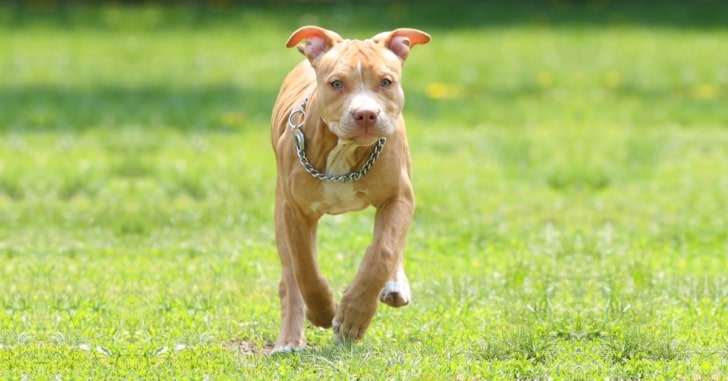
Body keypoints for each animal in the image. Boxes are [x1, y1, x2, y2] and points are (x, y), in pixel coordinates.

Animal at [272, 25, 432, 352]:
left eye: (386, 82)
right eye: (336, 83)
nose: (366, 114)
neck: (344, 150)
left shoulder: (398, 198)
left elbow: (381, 252)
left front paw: (353, 317)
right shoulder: (296, 211)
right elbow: (305, 267)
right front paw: (323, 310)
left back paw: (395, 284)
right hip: (280, 212)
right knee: (289, 277)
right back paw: (289, 339)